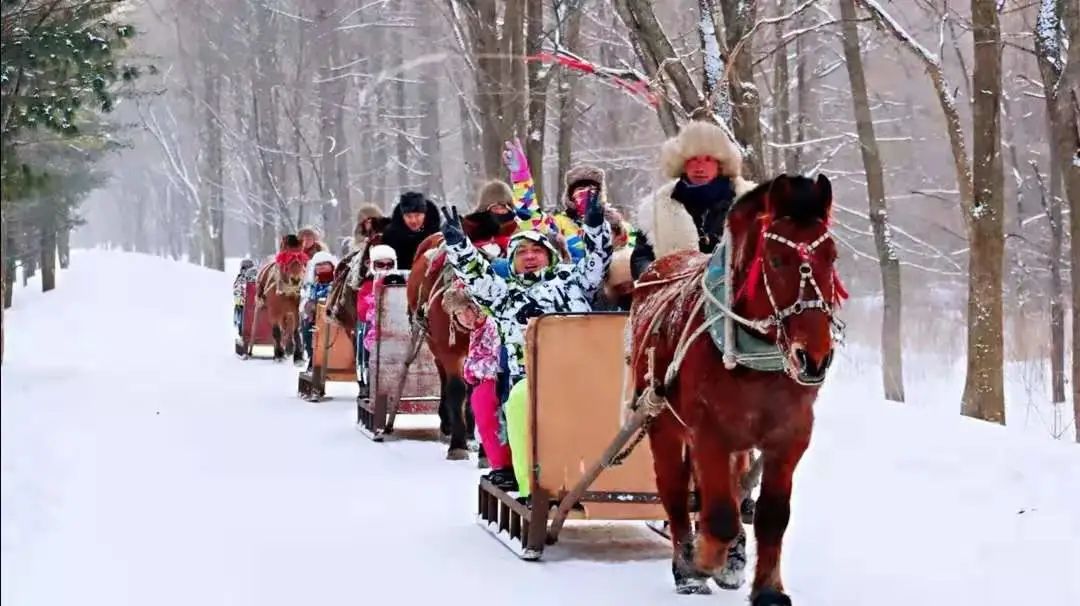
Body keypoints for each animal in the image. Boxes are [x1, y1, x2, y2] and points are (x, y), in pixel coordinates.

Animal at [630, 172, 846, 600]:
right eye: (776, 260)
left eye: (832, 257)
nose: (814, 357)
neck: (755, 361)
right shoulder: (708, 433)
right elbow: (719, 514)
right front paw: (702, 560)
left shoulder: (789, 436)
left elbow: (772, 516)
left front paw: (767, 587)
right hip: (662, 422)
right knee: (675, 493)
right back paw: (687, 567)